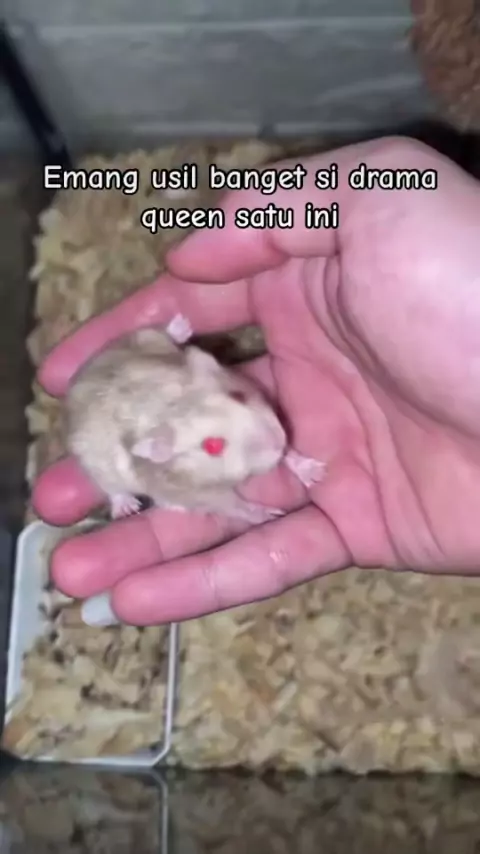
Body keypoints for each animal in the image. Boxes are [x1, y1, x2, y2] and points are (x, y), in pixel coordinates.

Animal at [65, 313, 325, 526]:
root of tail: (81, 376)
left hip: (139, 338)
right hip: (93, 460)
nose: (276, 440)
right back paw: (126, 507)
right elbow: (231, 505)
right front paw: (269, 514)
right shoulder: (190, 491)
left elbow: (288, 454)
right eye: (213, 446)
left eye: (238, 396)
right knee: (111, 487)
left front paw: (315, 473)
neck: (173, 402)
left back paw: (180, 327)